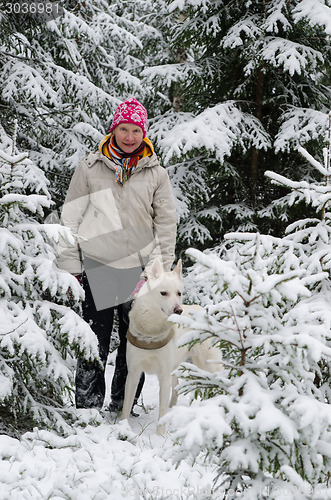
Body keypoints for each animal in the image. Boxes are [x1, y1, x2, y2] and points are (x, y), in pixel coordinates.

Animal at [120, 258, 222, 434]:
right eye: (163, 293)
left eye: (179, 293)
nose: (178, 310)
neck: (151, 335)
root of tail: (202, 309)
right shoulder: (133, 373)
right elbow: (126, 405)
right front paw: (122, 427)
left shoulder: (163, 376)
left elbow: (161, 414)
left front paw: (159, 436)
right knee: (177, 386)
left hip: (208, 364)